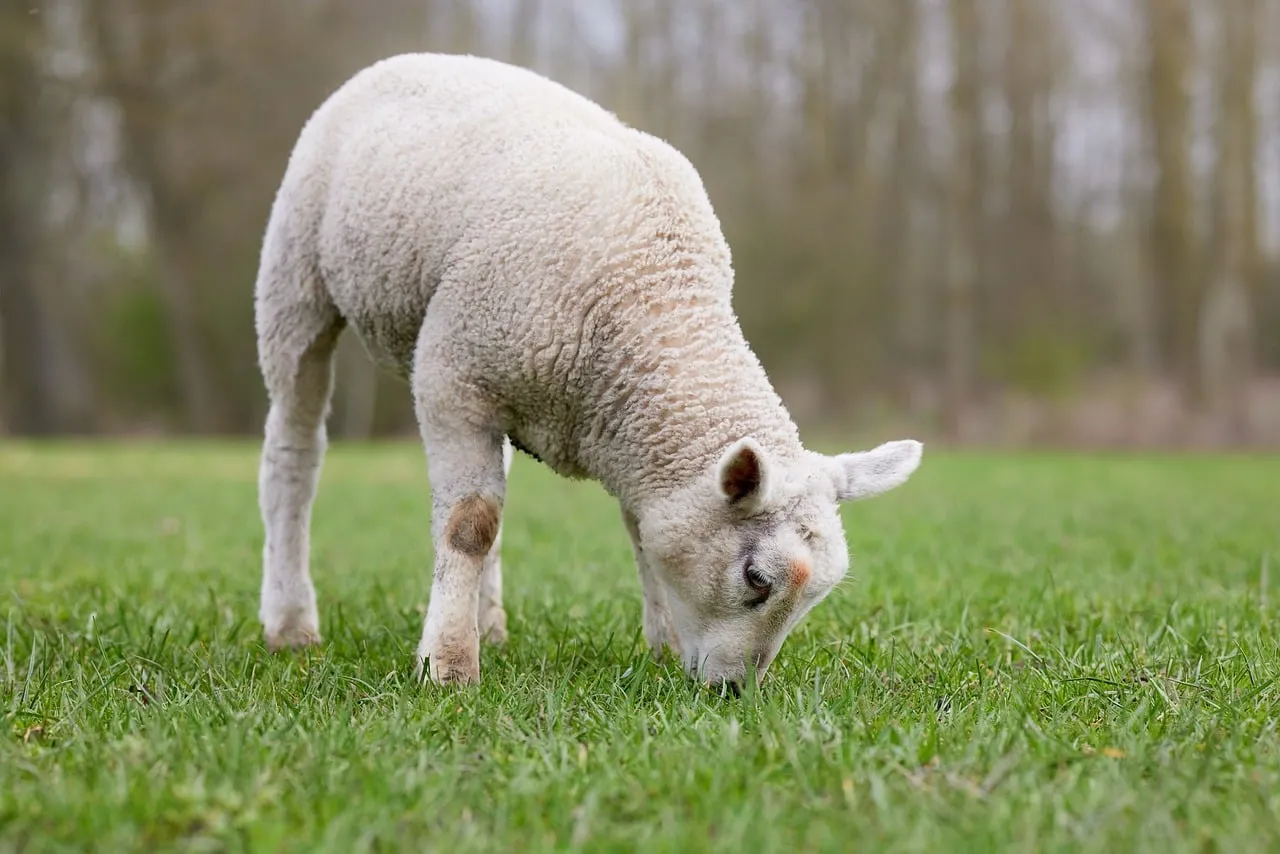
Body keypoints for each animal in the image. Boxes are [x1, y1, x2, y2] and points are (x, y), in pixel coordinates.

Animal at [254, 52, 923, 691]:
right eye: (756, 577)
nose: (734, 693)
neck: (653, 296)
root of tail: (411, 58)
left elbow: (638, 529)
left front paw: (663, 648)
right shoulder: (451, 380)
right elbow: (469, 523)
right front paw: (447, 666)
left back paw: (488, 622)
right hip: (296, 281)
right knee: (294, 453)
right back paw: (291, 624)